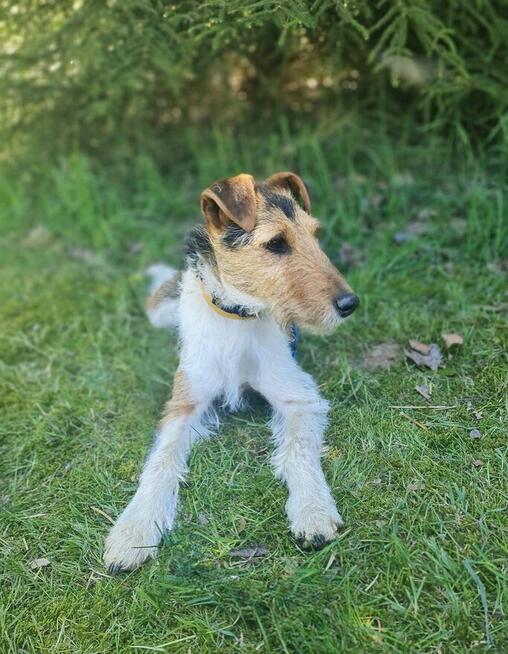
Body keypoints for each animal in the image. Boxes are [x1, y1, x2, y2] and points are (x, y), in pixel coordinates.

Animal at [103, 172, 360, 572]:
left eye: (314, 234)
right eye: (276, 243)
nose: (350, 303)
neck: (239, 316)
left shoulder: (298, 396)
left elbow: (297, 452)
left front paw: (313, 512)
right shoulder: (184, 403)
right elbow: (161, 461)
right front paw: (134, 531)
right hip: (158, 310)